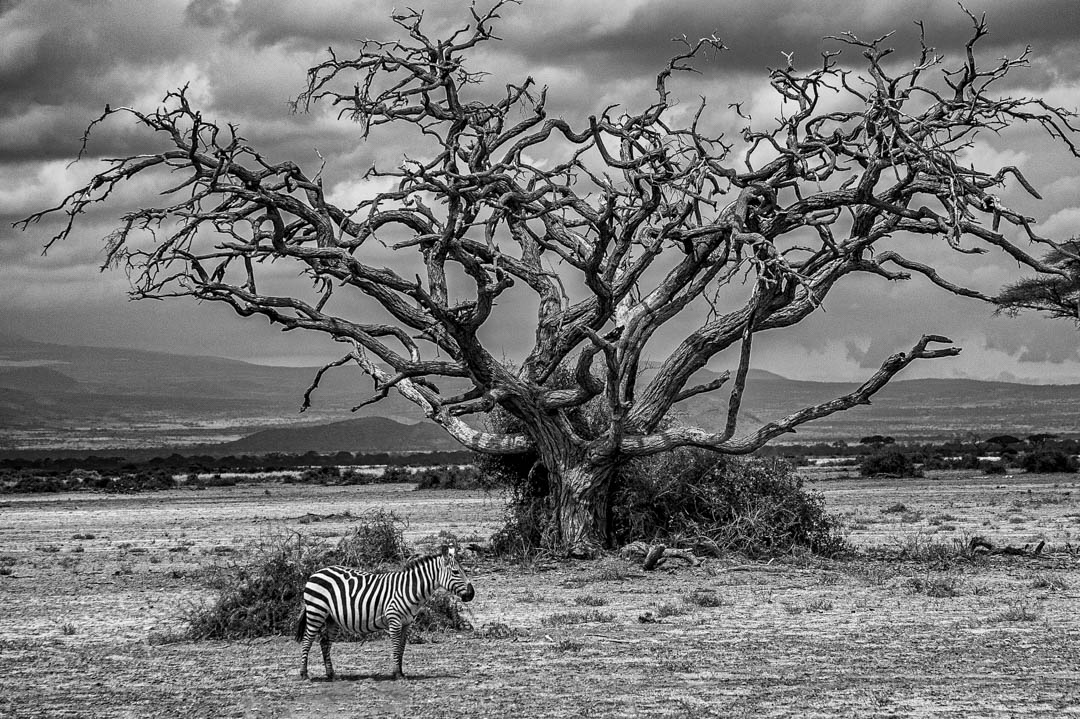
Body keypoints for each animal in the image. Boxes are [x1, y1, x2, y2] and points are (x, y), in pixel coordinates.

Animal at [295, 544, 475, 680]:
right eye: (456, 572)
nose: (472, 594)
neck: (410, 589)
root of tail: (317, 572)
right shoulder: (394, 620)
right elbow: (395, 646)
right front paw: (396, 673)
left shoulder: (406, 623)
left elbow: (401, 647)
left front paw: (401, 672)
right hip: (316, 611)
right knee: (307, 640)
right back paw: (304, 674)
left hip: (331, 618)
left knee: (325, 642)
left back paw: (331, 674)